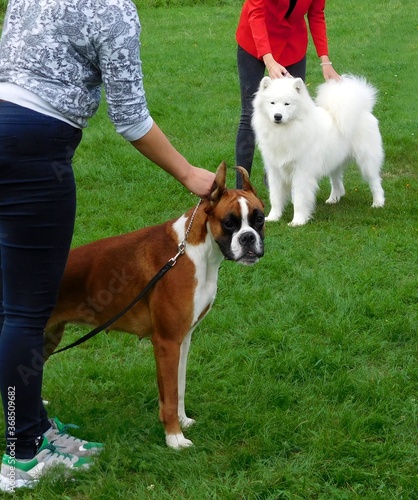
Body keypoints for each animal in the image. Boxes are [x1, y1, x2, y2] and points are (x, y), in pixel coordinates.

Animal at [45, 163, 264, 450]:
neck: (196, 251)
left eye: (259, 219)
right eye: (229, 223)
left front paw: (182, 421)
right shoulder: (166, 342)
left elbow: (178, 387)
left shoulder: (183, 339)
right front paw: (174, 438)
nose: (248, 238)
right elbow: (169, 394)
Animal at [251, 74, 386, 227]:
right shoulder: (275, 170)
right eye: (272, 103)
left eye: (287, 104)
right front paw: (273, 217)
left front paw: (297, 221)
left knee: (375, 181)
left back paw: (378, 203)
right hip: (334, 160)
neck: (285, 131)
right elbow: (275, 197)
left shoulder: (302, 172)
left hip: (366, 160)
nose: (277, 116)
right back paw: (333, 199)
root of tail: (364, 110)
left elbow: (299, 199)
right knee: (337, 182)